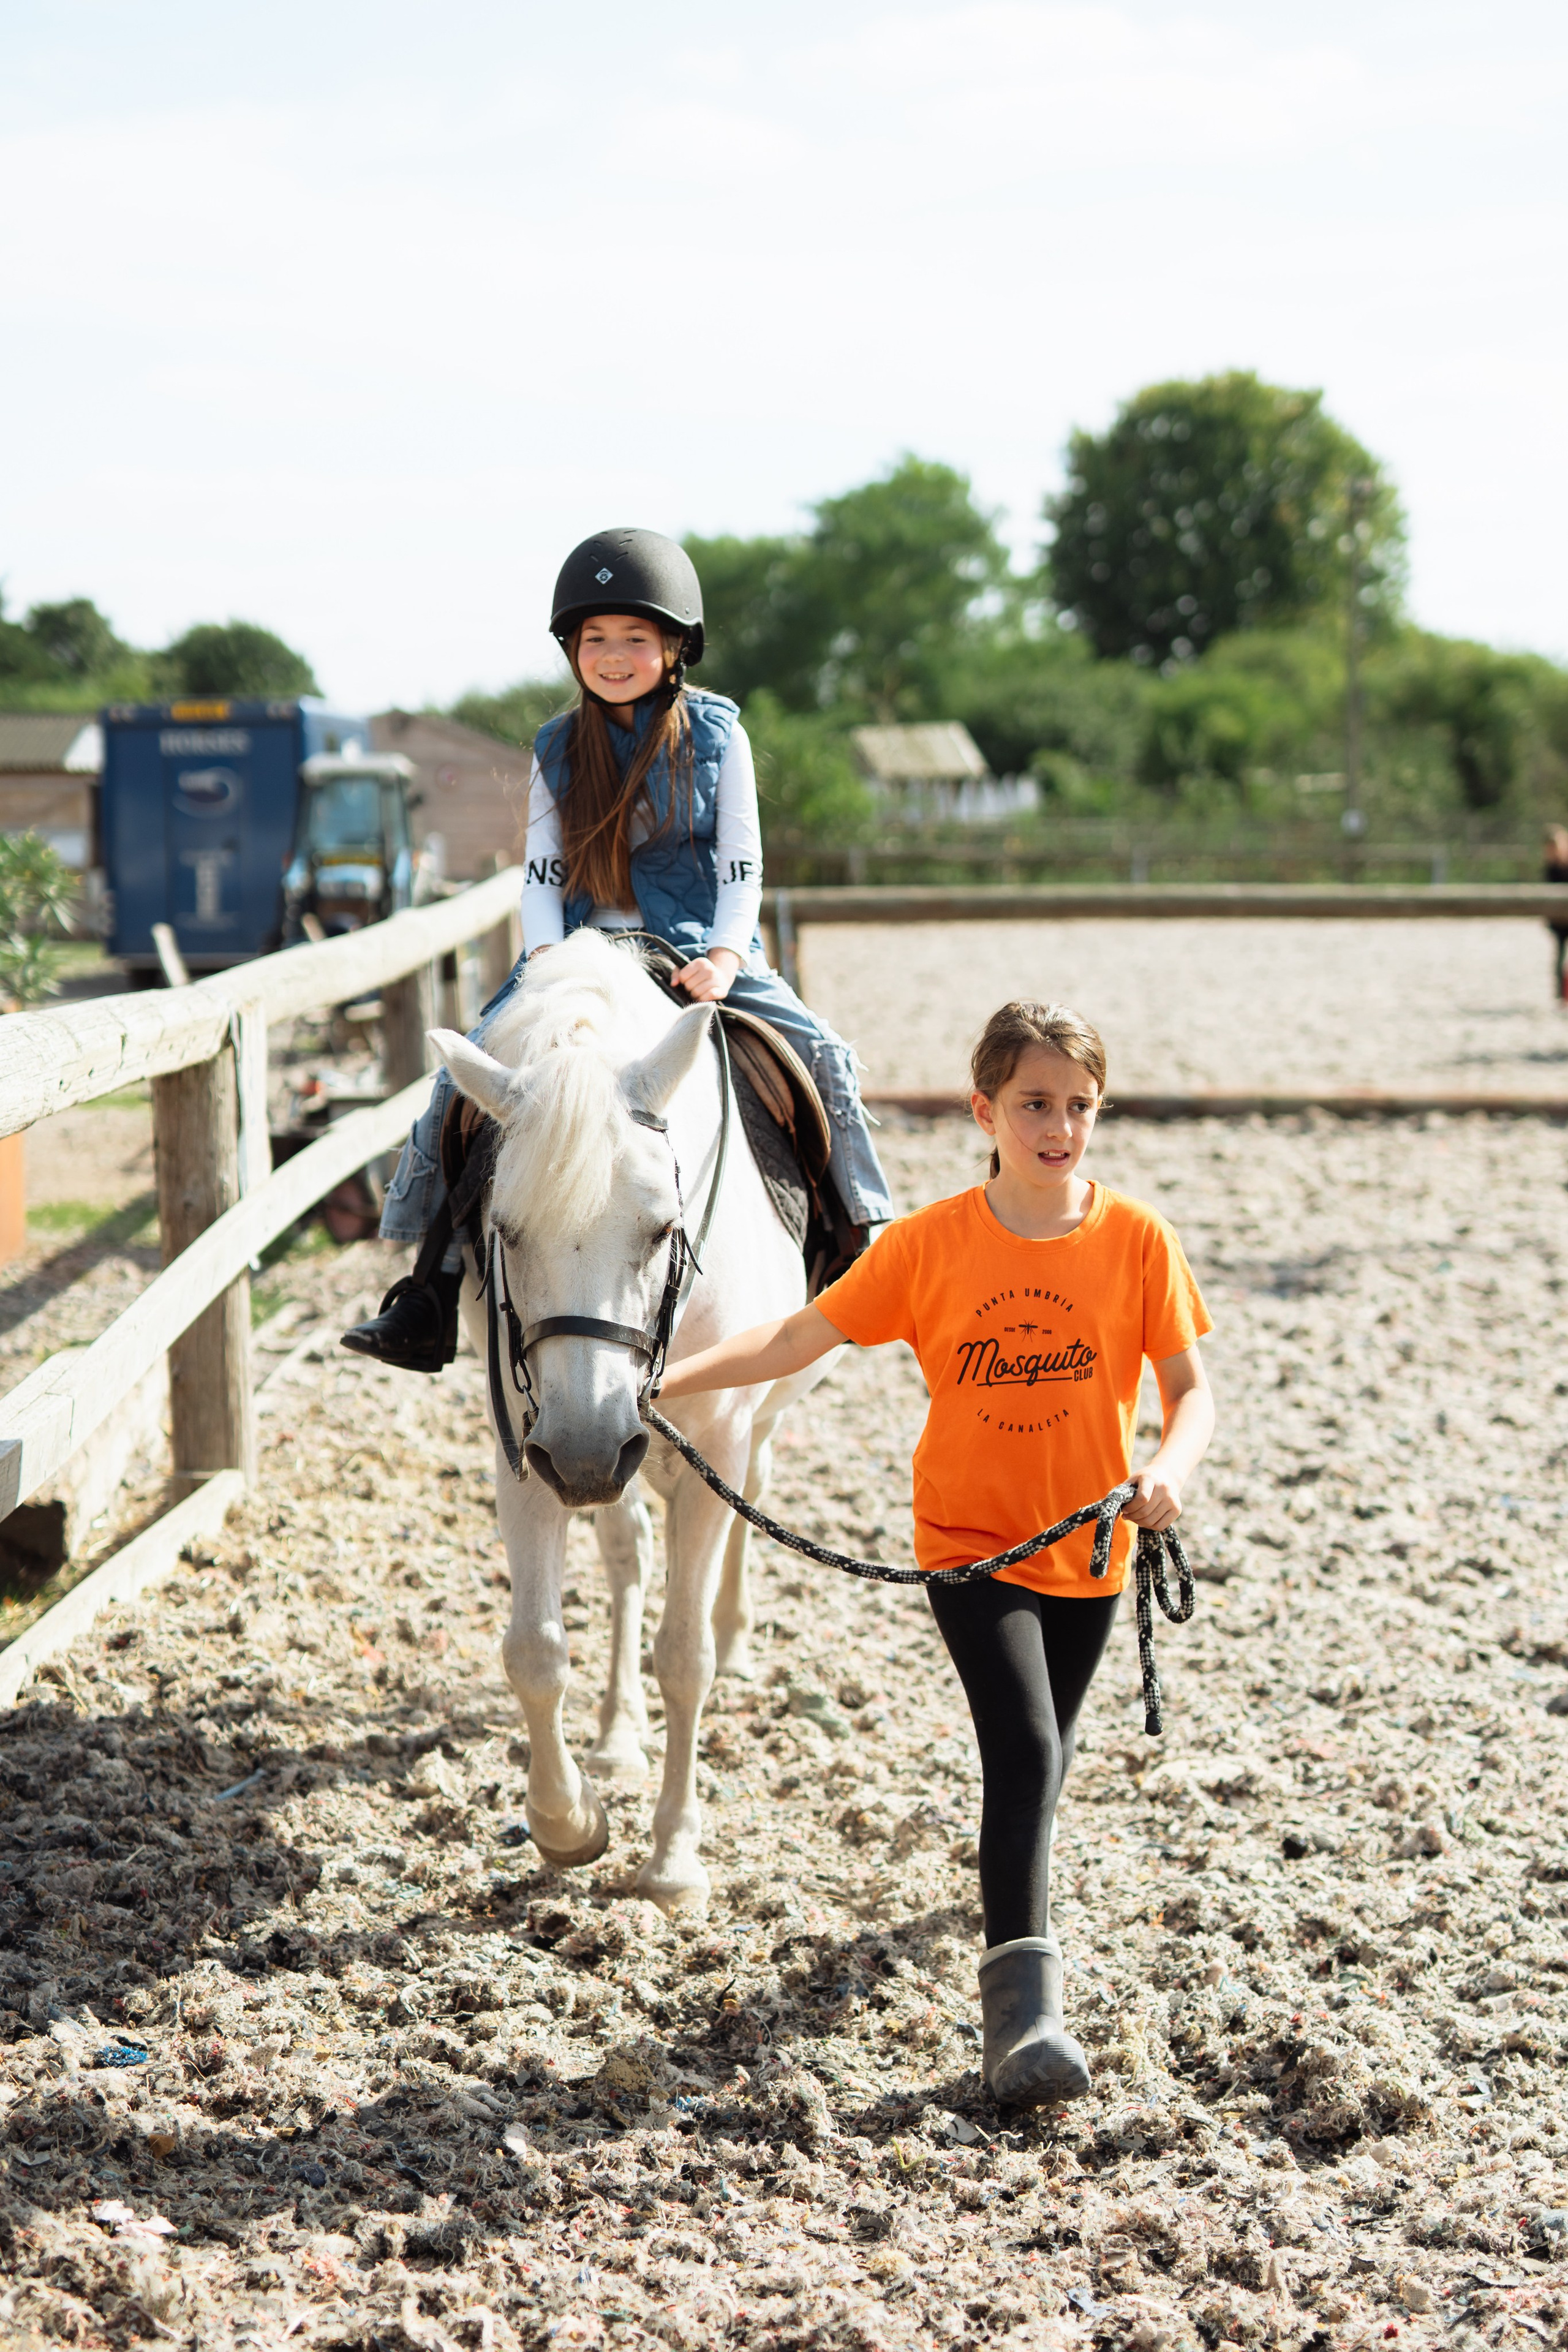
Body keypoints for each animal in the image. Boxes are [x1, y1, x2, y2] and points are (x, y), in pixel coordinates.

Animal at [429, 927, 834, 1914]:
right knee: (626, 1559)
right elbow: (535, 1648)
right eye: (505, 1227)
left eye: (660, 1228)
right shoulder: (526, 1441)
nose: (584, 1453)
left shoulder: (710, 1443)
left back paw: (737, 1637)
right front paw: (568, 1821)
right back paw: (616, 1736)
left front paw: (675, 1860)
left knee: (747, 1510)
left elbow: (684, 1655)